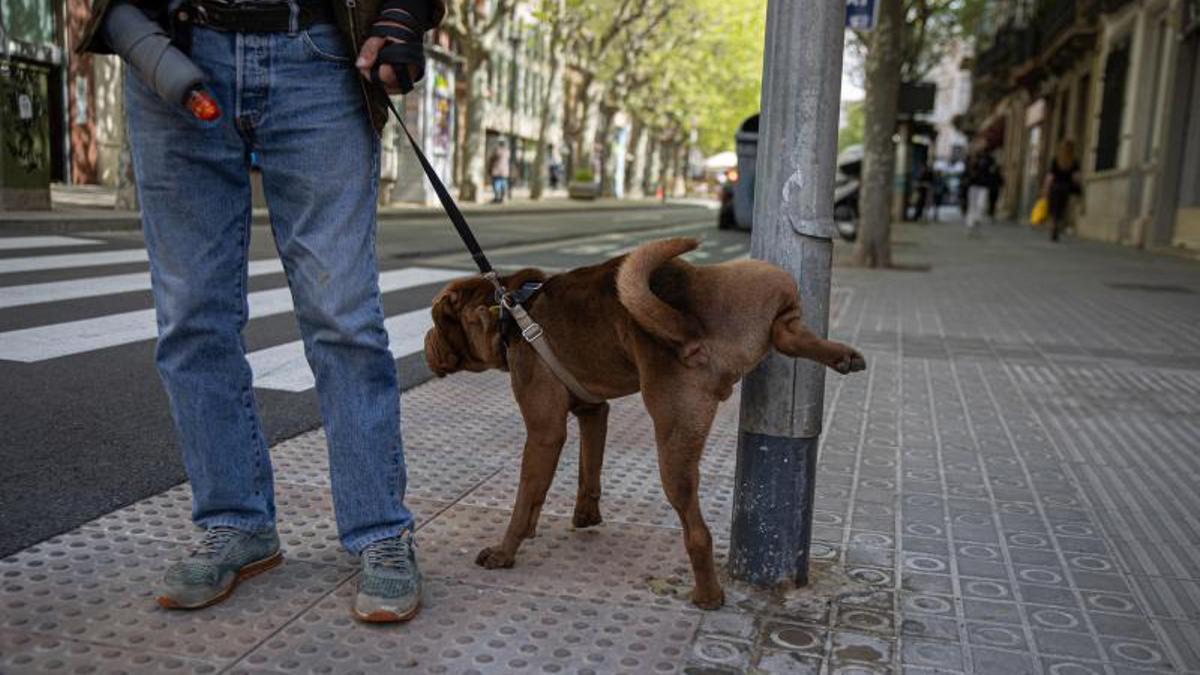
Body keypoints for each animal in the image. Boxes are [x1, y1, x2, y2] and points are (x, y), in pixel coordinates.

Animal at [427, 235, 868, 605]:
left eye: (434, 323)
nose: (426, 343)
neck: (510, 309)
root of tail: (686, 328)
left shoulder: (544, 432)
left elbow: (525, 497)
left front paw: (505, 550)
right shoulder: (593, 411)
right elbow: (587, 468)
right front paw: (584, 515)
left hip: (672, 441)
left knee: (697, 532)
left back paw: (708, 596)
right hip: (762, 279)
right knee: (787, 331)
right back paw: (841, 355)